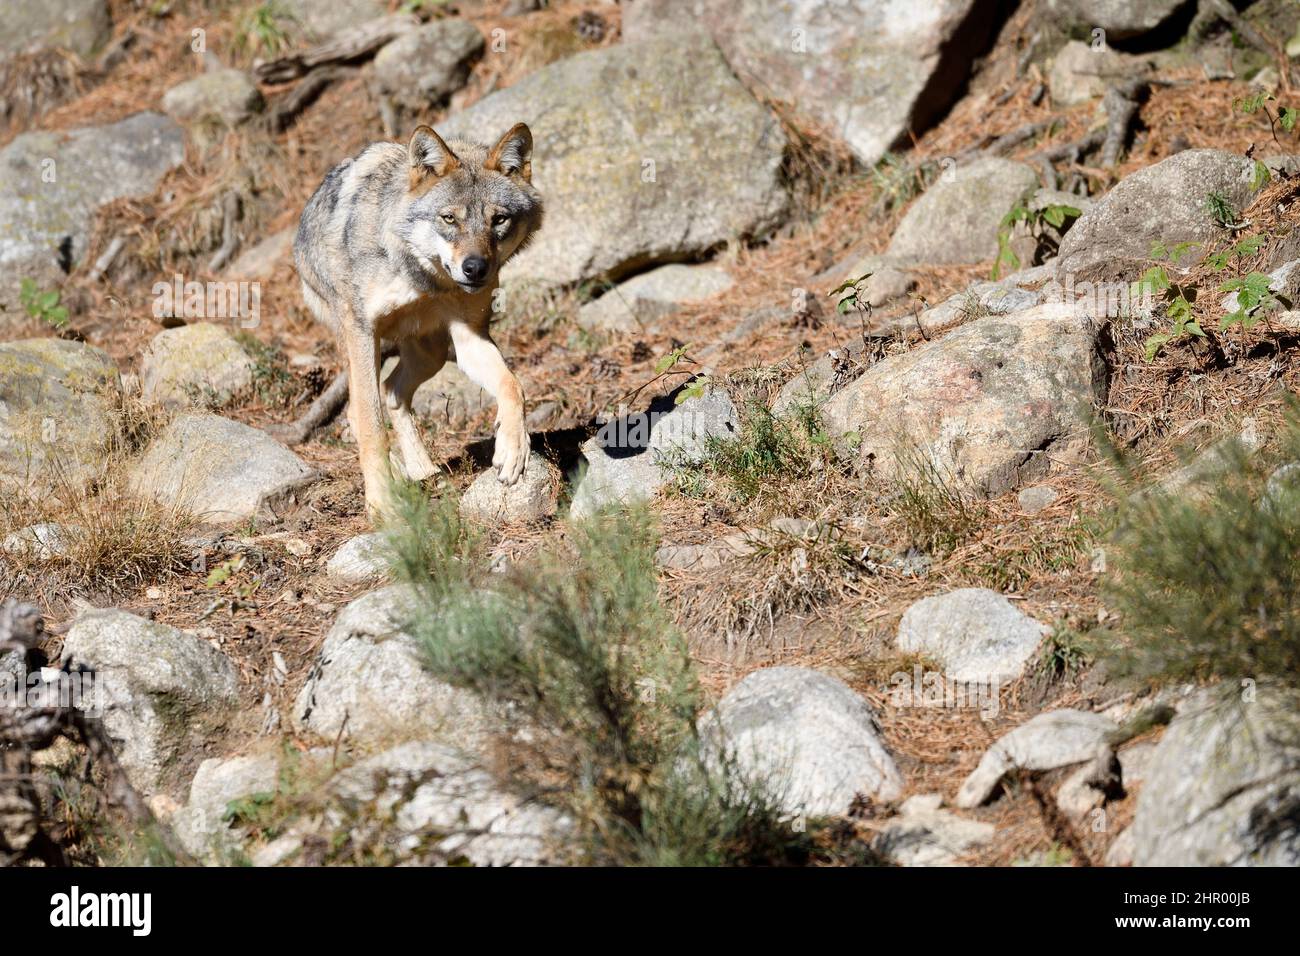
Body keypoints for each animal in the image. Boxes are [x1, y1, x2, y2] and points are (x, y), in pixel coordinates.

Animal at [294, 123, 542, 519]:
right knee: (359, 411)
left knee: (392, 392)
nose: (475, 269)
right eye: (449, 218)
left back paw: (425, 473)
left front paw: (512, 450)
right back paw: (400, 478)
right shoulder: (362, 331)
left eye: (498, 219)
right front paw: (382, 504)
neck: (424, 278)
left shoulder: (470, 336)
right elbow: (372, 428)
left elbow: (513, 385)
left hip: (433, 352)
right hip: (364, 343)